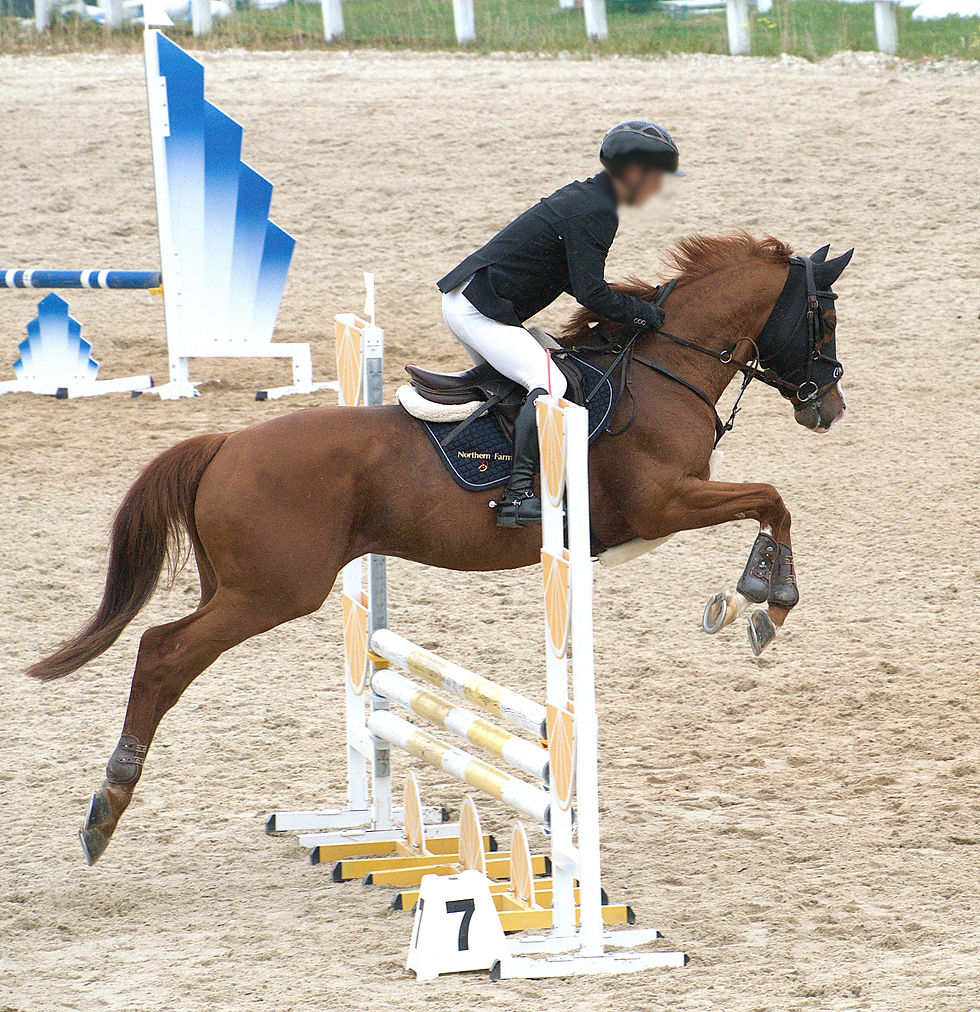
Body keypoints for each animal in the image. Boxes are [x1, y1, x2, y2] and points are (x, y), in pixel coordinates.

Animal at [27, 233, 853, 866]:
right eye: (824, 319)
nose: (830, 406)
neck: (660, 370)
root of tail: (225, 442)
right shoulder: (664, 503)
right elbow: (773, 499)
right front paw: (765, 600)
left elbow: (771, 502)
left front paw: (752, 601)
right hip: (272, 591)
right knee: (162, 652)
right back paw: (106, 806)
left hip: (237, 585)